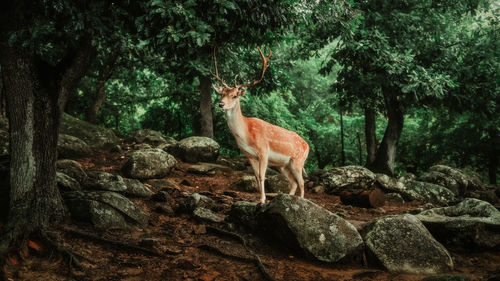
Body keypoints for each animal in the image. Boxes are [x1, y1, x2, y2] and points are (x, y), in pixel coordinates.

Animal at [211, 47, 308, 202]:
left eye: (234, 95)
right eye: (222, 94)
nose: (221, 104)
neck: (246, 133)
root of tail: (308, 146)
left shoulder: (263, 151)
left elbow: (262, 176)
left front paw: (263, 200)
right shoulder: (249, 155)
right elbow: (256, 177)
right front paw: (259, 199)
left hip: (298, 161)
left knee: (302, 182)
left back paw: (301, 200)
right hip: (283, 165)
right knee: (293, 182)